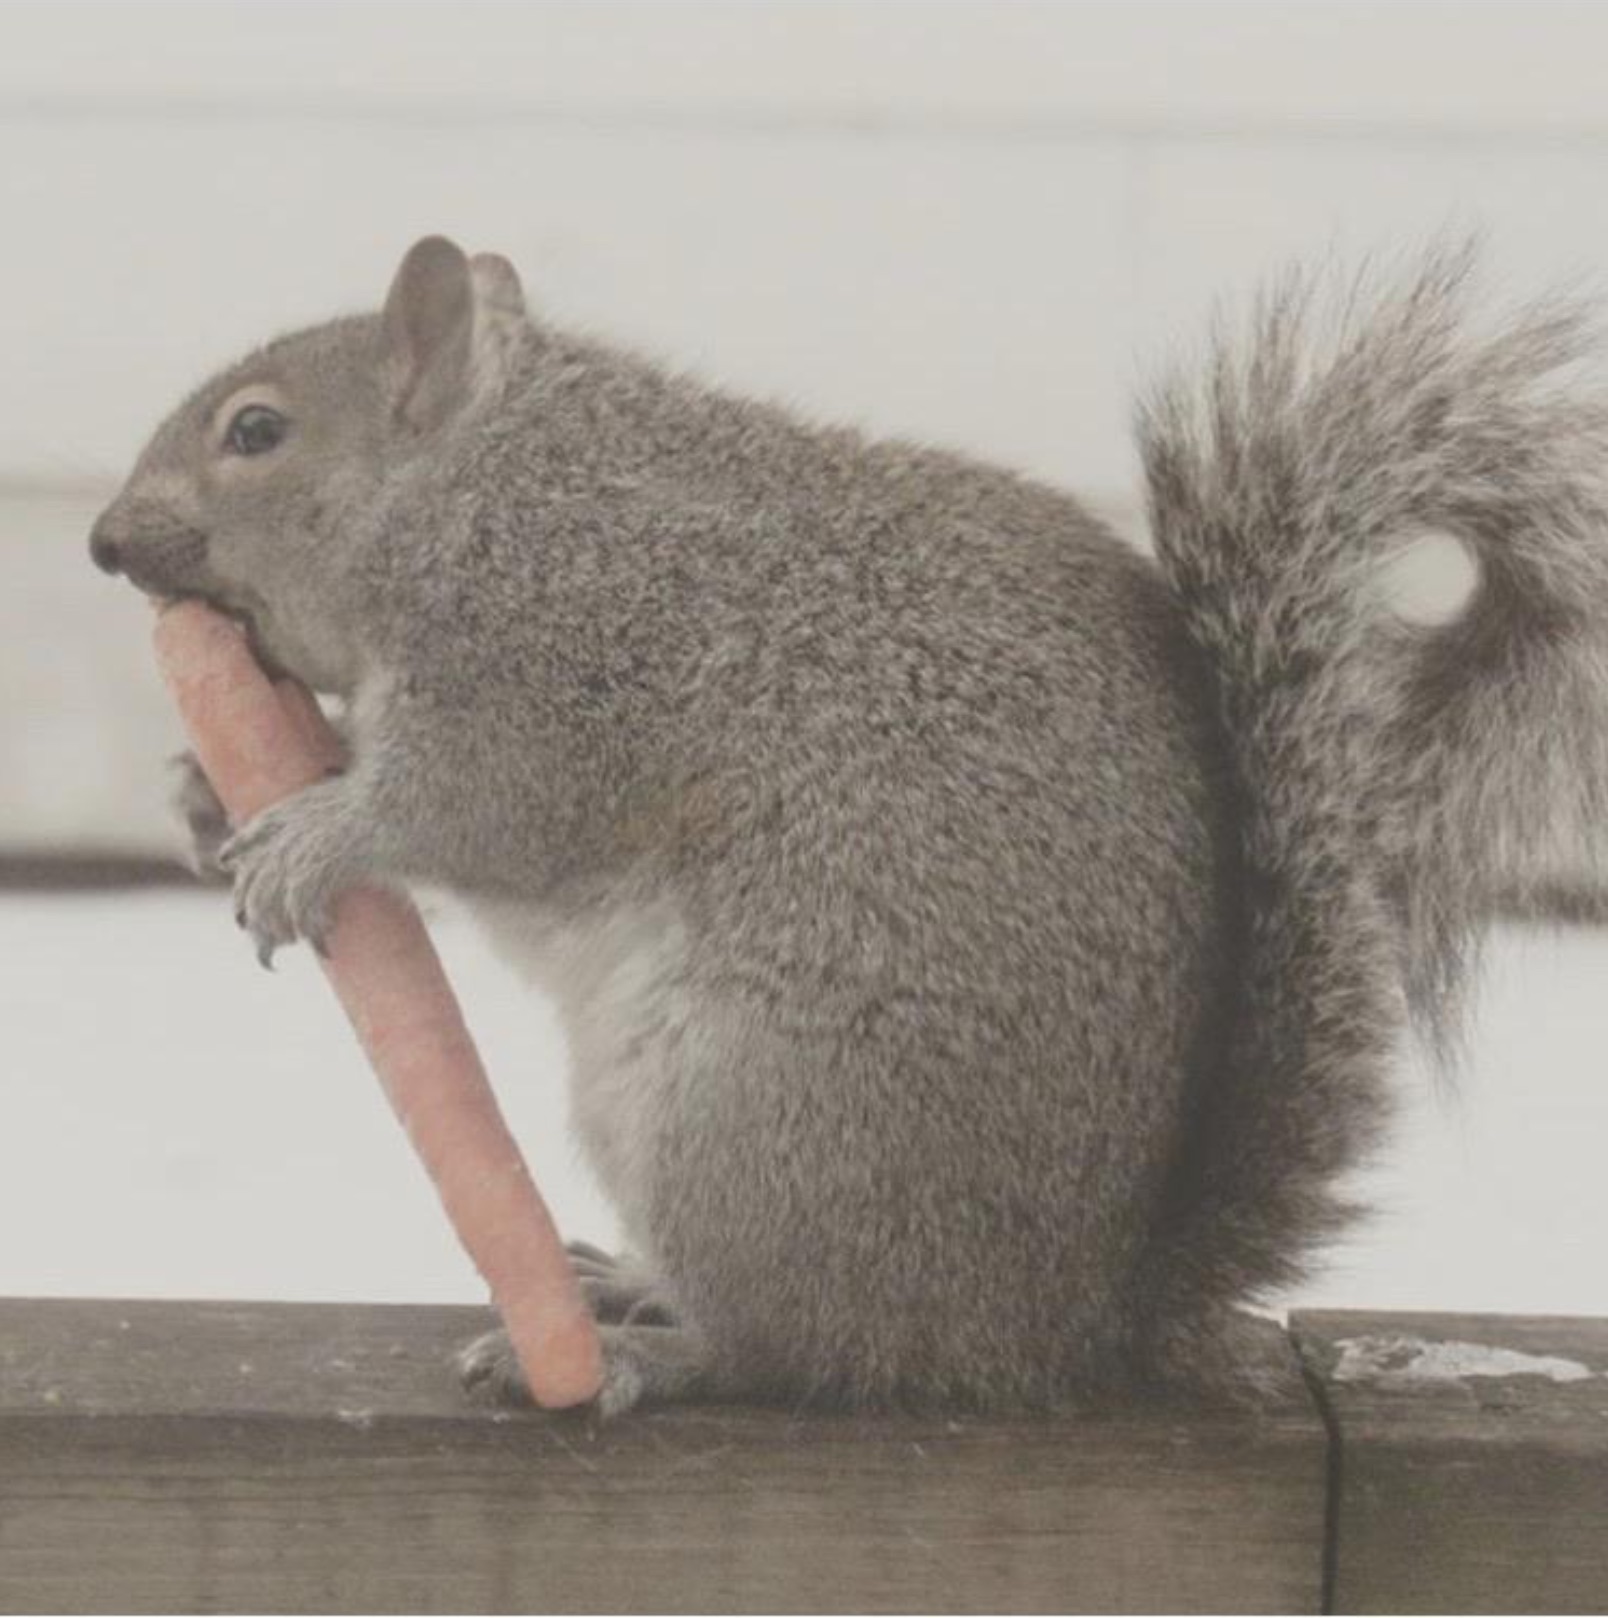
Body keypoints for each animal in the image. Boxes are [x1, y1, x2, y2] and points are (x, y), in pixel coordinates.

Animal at [84, 234, 1604, 1410]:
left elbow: (475, 808)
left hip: (754, 1122)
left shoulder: (564, 667)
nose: (100, 544)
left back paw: (647, 1355)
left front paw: (312, 841)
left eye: (257, 431)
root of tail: (1059, 1325)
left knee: (800, 1351)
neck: (484, 485)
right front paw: (209, 794)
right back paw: (628, 1285)